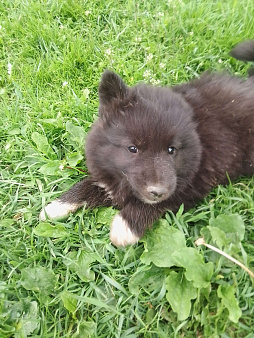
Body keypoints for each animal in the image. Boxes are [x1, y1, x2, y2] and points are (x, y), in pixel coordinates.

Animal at [39, 40, 254, 246]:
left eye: (171, 150)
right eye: (132, 148)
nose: (157, 191)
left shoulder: (193, 182)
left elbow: (154, 202)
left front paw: (125, 226)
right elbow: (88, 185)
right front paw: (56, 206)